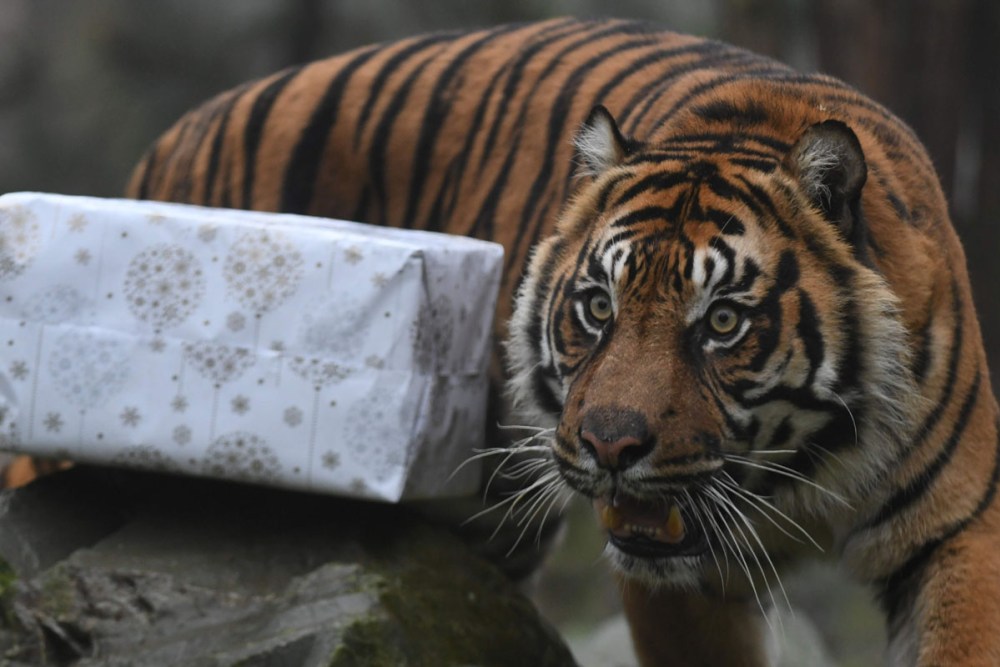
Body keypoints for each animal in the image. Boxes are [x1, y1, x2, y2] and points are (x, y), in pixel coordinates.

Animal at [9, 18, 1000, 664]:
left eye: (721, 322)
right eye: (597, 307)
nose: (611, 447)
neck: (797, 472)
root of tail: (174, 137)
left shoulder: (959, 529)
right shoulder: (680, 578)